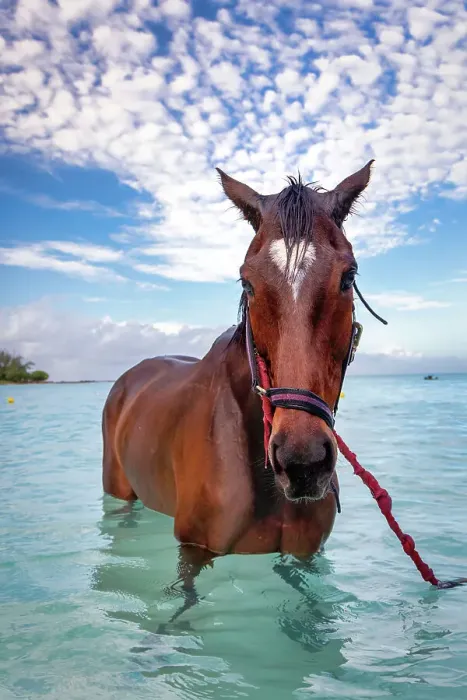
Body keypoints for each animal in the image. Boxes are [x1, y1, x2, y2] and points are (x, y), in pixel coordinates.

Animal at [101, 160, 377, 607]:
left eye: (348, 276)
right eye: (247, 282)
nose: (303, 461)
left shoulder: (303, 554)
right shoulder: (193, 551)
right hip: (119, 493)